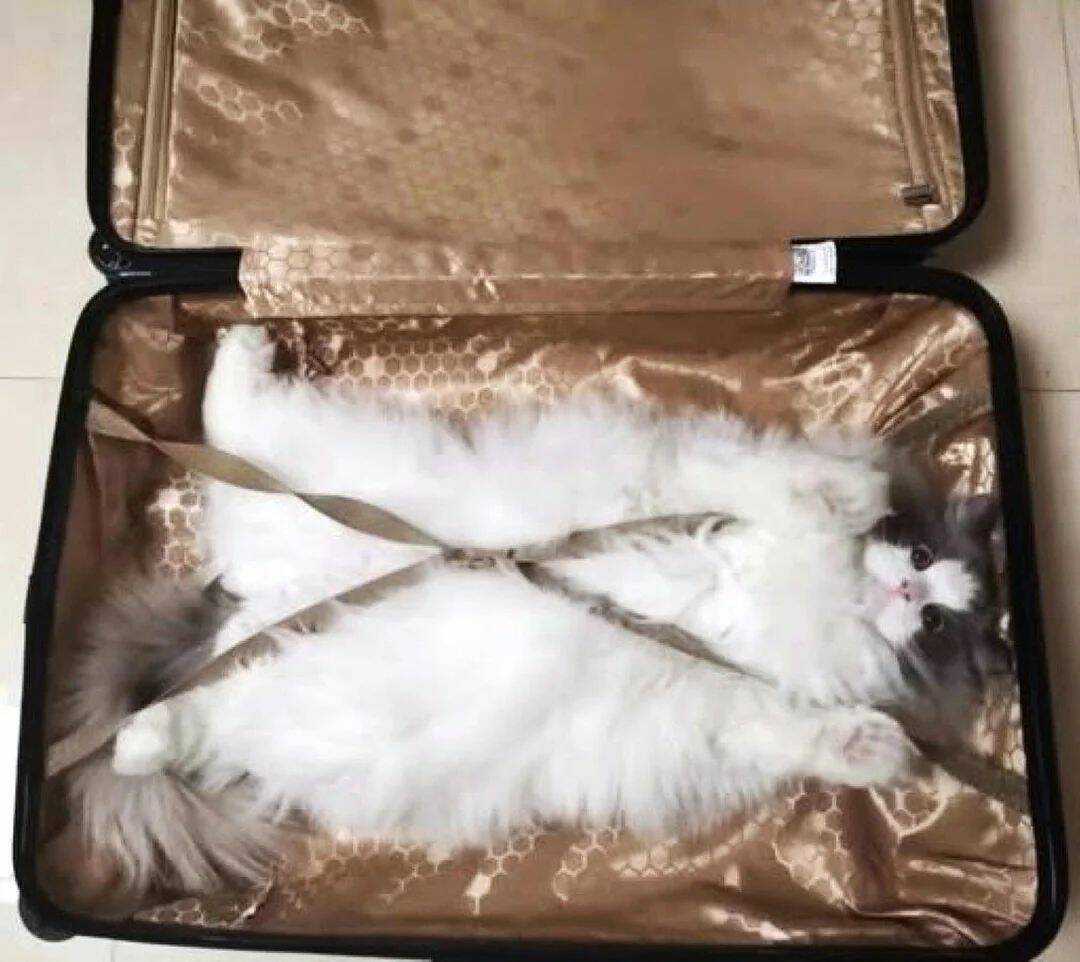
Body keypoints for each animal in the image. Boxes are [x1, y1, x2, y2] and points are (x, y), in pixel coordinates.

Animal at [63, 325, 1005, 896]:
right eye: (922, 560)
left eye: (938, 625)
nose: (908, 591)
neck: (805, 593)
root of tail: (255, 607)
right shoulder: (702, 489)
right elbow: (790, 492)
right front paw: (853, 494)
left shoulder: (724, 704)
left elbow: (800, 729)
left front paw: (875, 749)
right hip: (320, 476)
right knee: (237, 422)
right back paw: (242, 349)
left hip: (292, 696)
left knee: (182, 720)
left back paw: (140, 735)